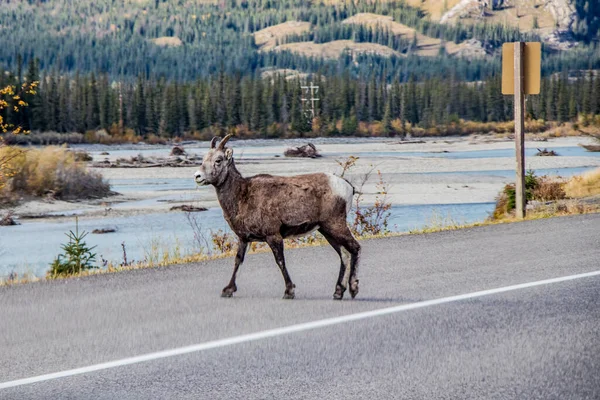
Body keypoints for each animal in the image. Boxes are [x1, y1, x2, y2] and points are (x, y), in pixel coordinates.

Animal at [195, 135, 358, 300]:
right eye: (204, 159)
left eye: (218, 160)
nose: (197, 176)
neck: (241, 196)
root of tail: (348, 187)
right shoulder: (244, 238)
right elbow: (238, 260)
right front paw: (228, 290)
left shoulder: (273, 235)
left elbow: (280, 261)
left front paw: (289, 291)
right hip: (326, 230)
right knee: (344, 254)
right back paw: (338, 292)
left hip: (335, 224)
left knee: (355, 248)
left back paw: (353, 289)